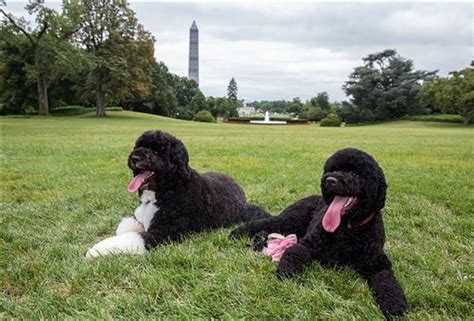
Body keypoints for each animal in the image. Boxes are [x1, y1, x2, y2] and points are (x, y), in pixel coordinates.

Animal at [86, 130, 268, 258]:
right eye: (138, 146)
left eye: (158, 151)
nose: (134, 158)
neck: (165, 189)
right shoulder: (138, 218)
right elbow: (125, 227)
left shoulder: (162, 232)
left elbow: (132, 237)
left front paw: (95, 251)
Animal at [230, 148, 408, 318]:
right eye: (333, 169)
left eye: (355, 173)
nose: (330, 180)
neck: (346, 228)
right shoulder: (307, 245)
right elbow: (294, 253)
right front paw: (286, 271)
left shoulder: (378, 263)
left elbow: (388, 283)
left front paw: (394, 305)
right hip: (289, 221)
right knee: (264, 223)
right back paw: (236, 233)